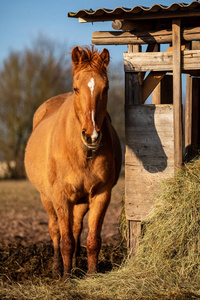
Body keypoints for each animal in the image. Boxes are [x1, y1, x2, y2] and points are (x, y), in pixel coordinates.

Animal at [25, 46, 122, 278]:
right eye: (76, 89)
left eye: (106, 88)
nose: (92, 136)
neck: (82, 153)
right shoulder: (60, 196)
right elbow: (66, 240)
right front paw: (66, 278)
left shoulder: (101, 194)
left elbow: (92, 239)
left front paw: (92, 274)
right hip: (47, 197)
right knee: (55, 230)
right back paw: (56, 268)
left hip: (81, 201)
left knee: (77, 227)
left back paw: (77, 265)